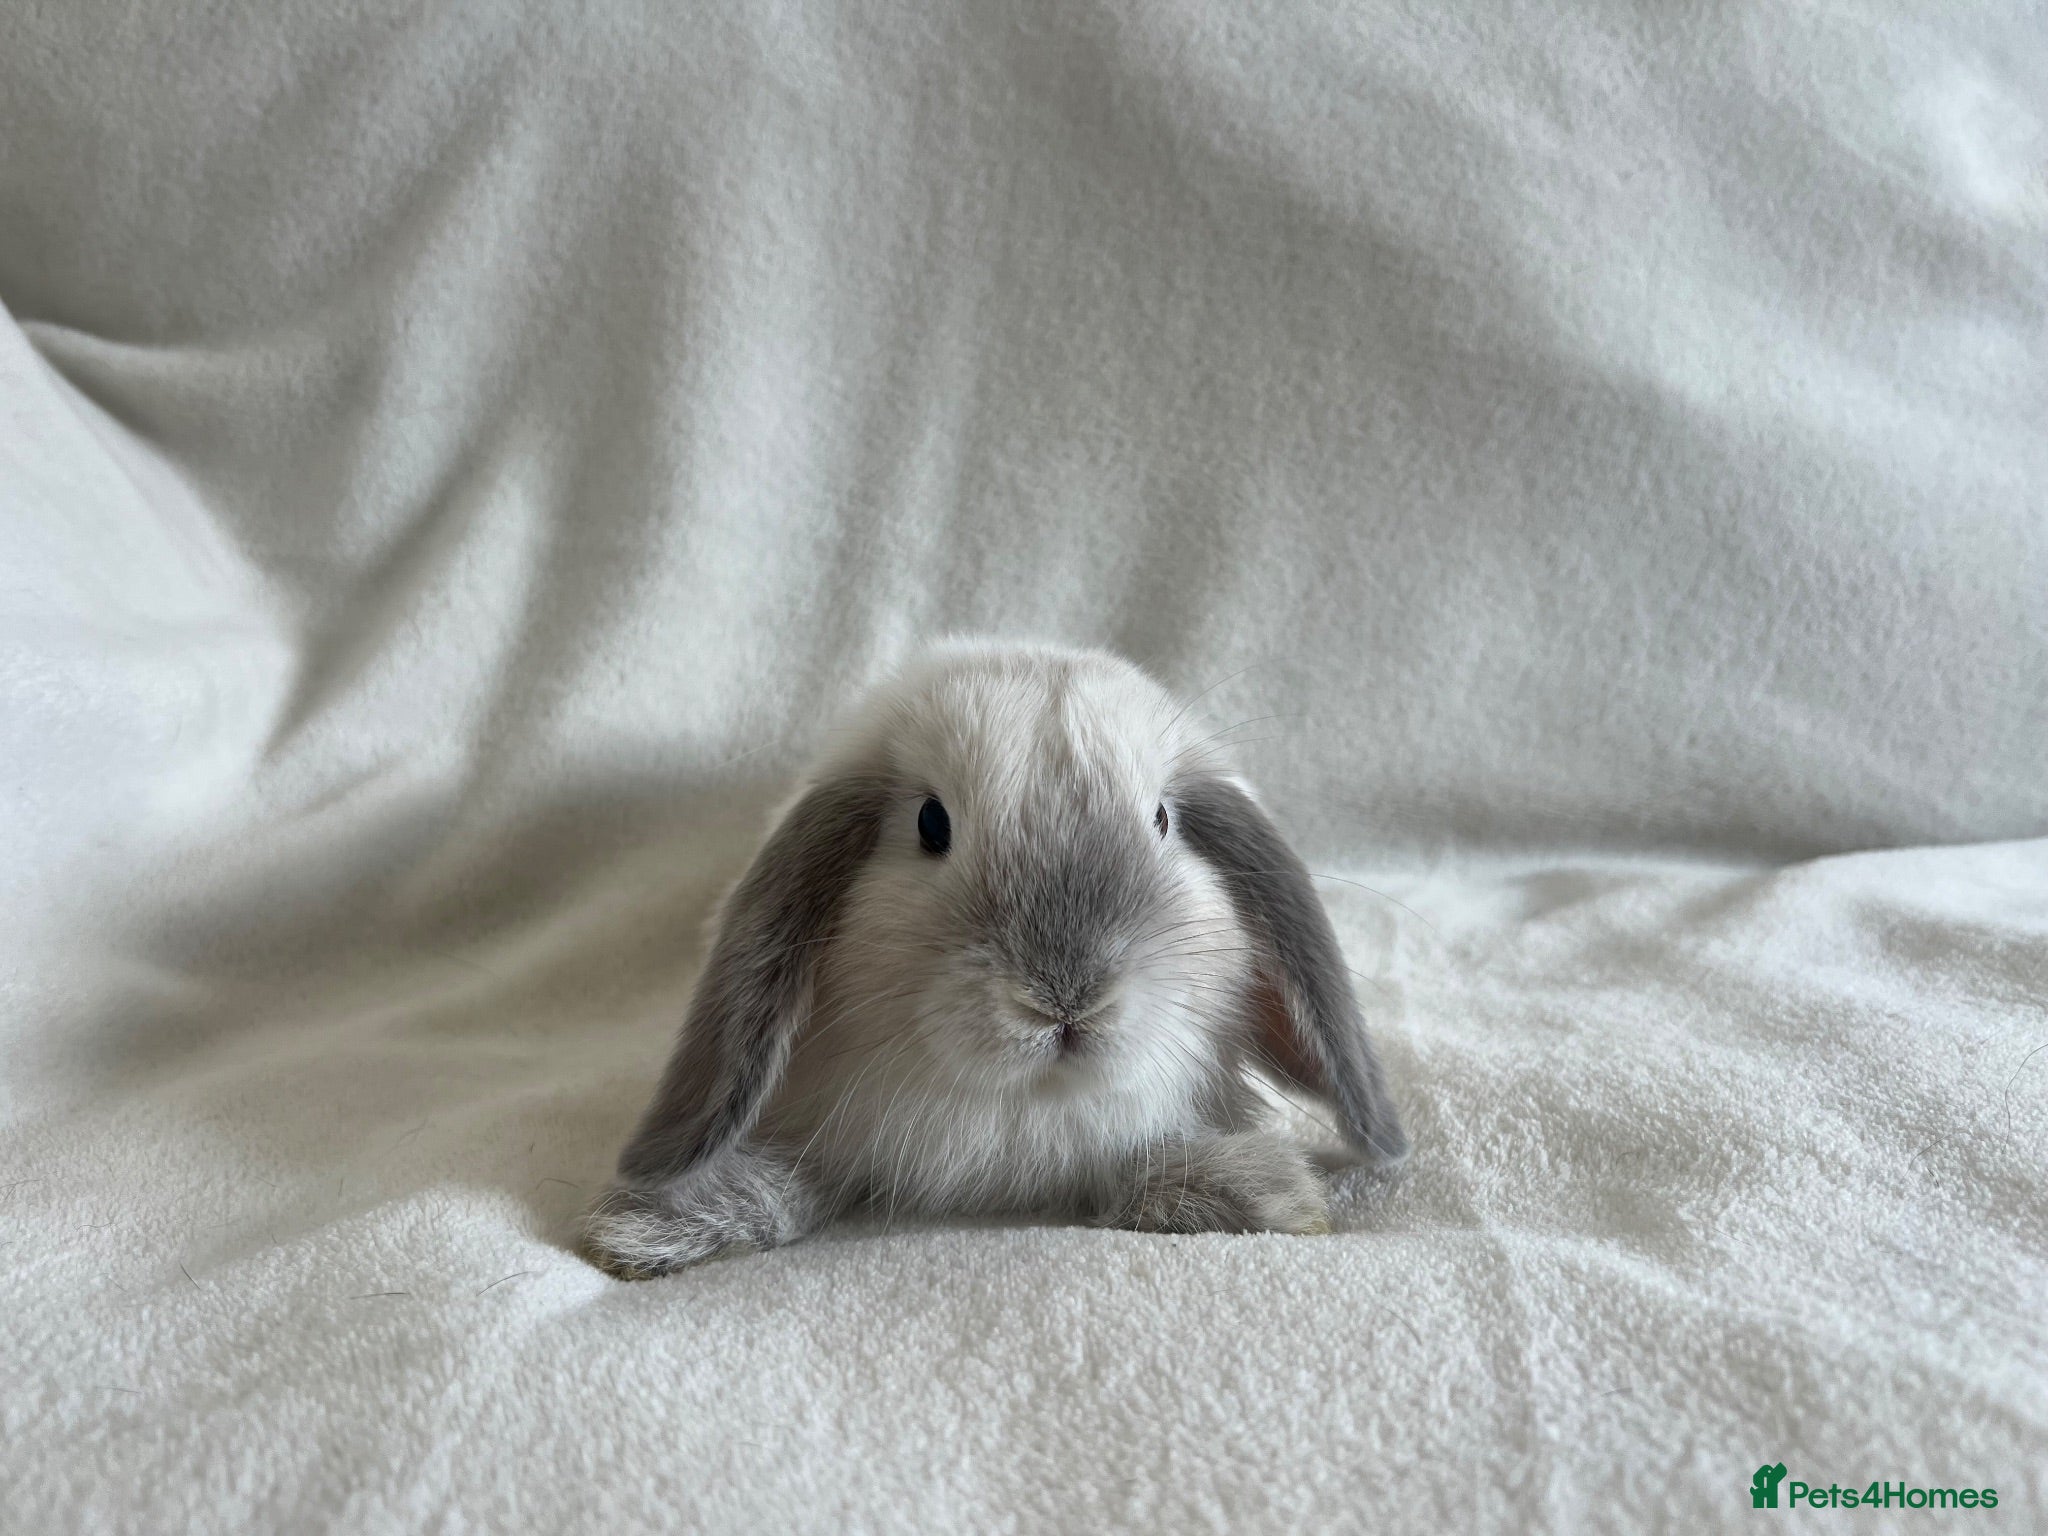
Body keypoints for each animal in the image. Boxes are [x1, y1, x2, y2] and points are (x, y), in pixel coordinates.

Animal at [584, 640, 1406, 1277]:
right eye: (931, 823)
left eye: (1163, 820)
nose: (1065, 1000)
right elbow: (793, 1183)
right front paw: (650, 1227)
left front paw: (1263, 1194)